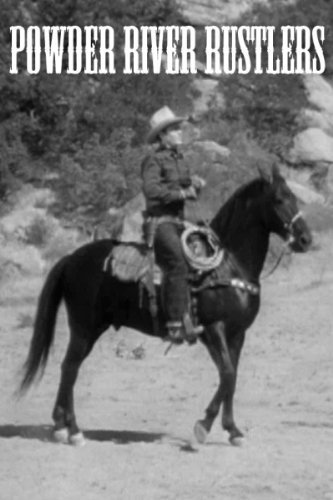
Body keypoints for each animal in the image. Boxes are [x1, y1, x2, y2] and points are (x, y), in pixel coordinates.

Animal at [20, 166, 312, 448]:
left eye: (294, 198)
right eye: (279, 199)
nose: (306, 239)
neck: (227, 265)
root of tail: (71, 258)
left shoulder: (237, 334)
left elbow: (231, 377)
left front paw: (233, 430)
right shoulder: (214, 329)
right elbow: (228, 374)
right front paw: (202, 429)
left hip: (89, 330)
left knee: (69, 368)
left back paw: (61, 427)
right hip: (84, 328)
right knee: (70, 368)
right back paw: (73, 431)